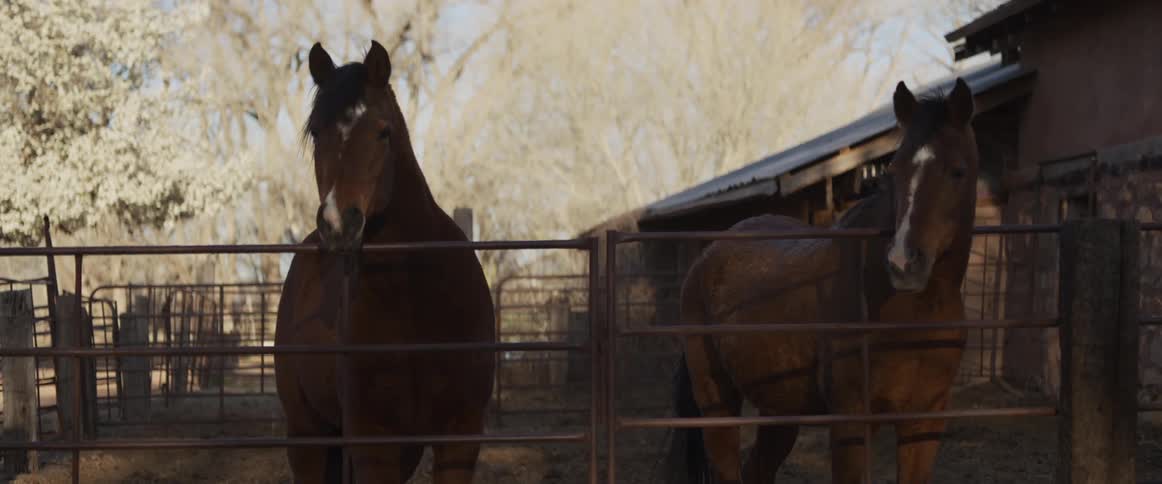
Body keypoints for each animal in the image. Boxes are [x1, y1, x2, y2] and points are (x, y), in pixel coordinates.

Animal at [274, 40, 496, 484]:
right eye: (316, 132)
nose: (338, 223)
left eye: (382, 131)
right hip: (307, 435)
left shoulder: (460, 437)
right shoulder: (375, 445)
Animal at [664, 78, 979, 483]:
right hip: (717, 402)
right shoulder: (851, 421)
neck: (914, 314)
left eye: (957, 171)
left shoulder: (925, 420)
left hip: (779, 410)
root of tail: (706, 258)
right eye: (893, 171)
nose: (902, 263)